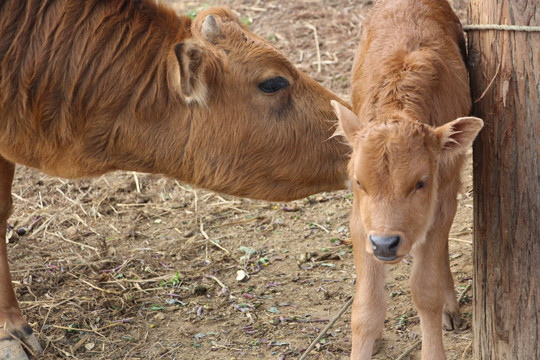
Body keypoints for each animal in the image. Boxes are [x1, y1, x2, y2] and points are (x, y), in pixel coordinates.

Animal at [332, 0, 484, 360]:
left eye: (420, 183)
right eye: (359, 182)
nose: (385, 243)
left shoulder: (442, 199)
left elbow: (425, 291)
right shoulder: (361, 221)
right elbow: (366, 310)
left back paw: (450, 308)